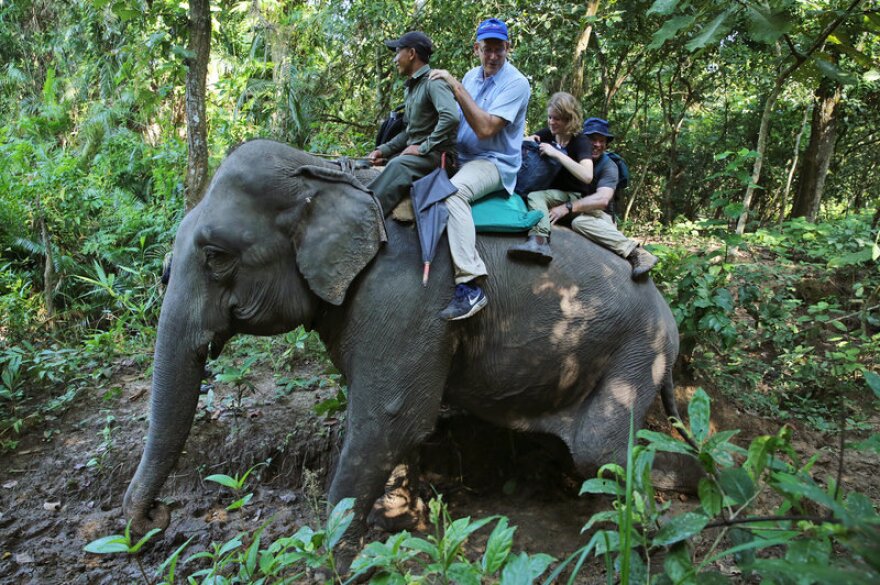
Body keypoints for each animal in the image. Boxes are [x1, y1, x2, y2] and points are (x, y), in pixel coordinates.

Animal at [123, 139, 683, 567]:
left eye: (216, 256)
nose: (156, 519)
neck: (328, 177)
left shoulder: (409, 298)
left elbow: (389, 419)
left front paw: (337, 564)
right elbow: (384, 420)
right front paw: (391, 526)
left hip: (639, 350)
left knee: (599, 450)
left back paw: (642, 543)